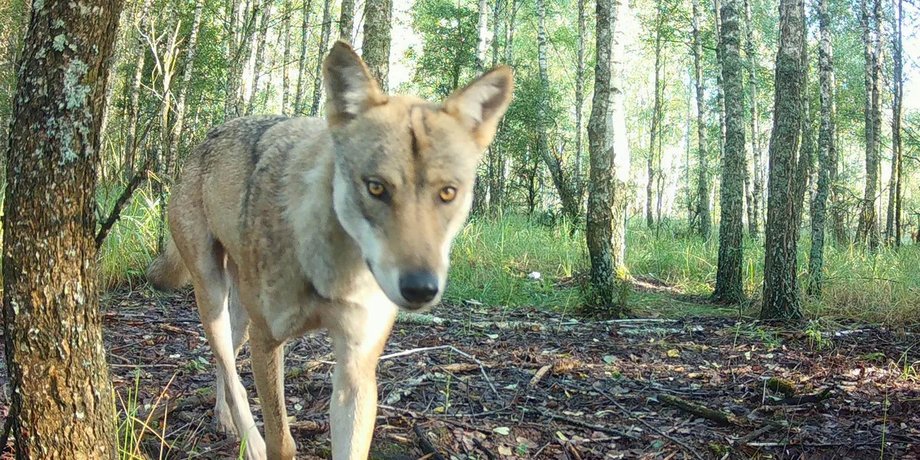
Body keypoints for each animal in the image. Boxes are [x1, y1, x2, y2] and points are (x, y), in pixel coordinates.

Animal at [146, 41, 513, 459]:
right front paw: (266, 442)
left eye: (448, 193)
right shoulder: (267, 340)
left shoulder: (356, 368)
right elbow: (282, 441)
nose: (420, 288)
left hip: (239, 317)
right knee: (230, 371)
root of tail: (207, 136)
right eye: (376, 187)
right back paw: (248, 440)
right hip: (214, 297)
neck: (337, 273)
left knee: (227, 368)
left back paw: (225, 421)